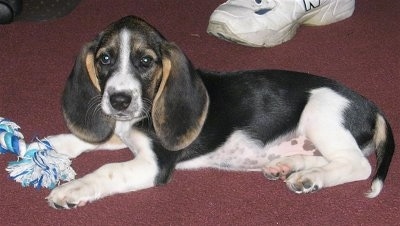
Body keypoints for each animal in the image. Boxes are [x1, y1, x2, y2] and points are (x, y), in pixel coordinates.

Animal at [46, 15, 394, 209]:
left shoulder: (153, 164)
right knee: (330, 159)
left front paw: (71, 189)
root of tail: (370, 105)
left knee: (357, 165)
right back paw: (291, 167)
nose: (119, 100)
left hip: (321, 114)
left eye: (145, 62)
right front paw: (53, 145)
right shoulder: (120, 131)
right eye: (104, 59)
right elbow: (89, 140)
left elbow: (106, 169)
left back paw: (310, 178)